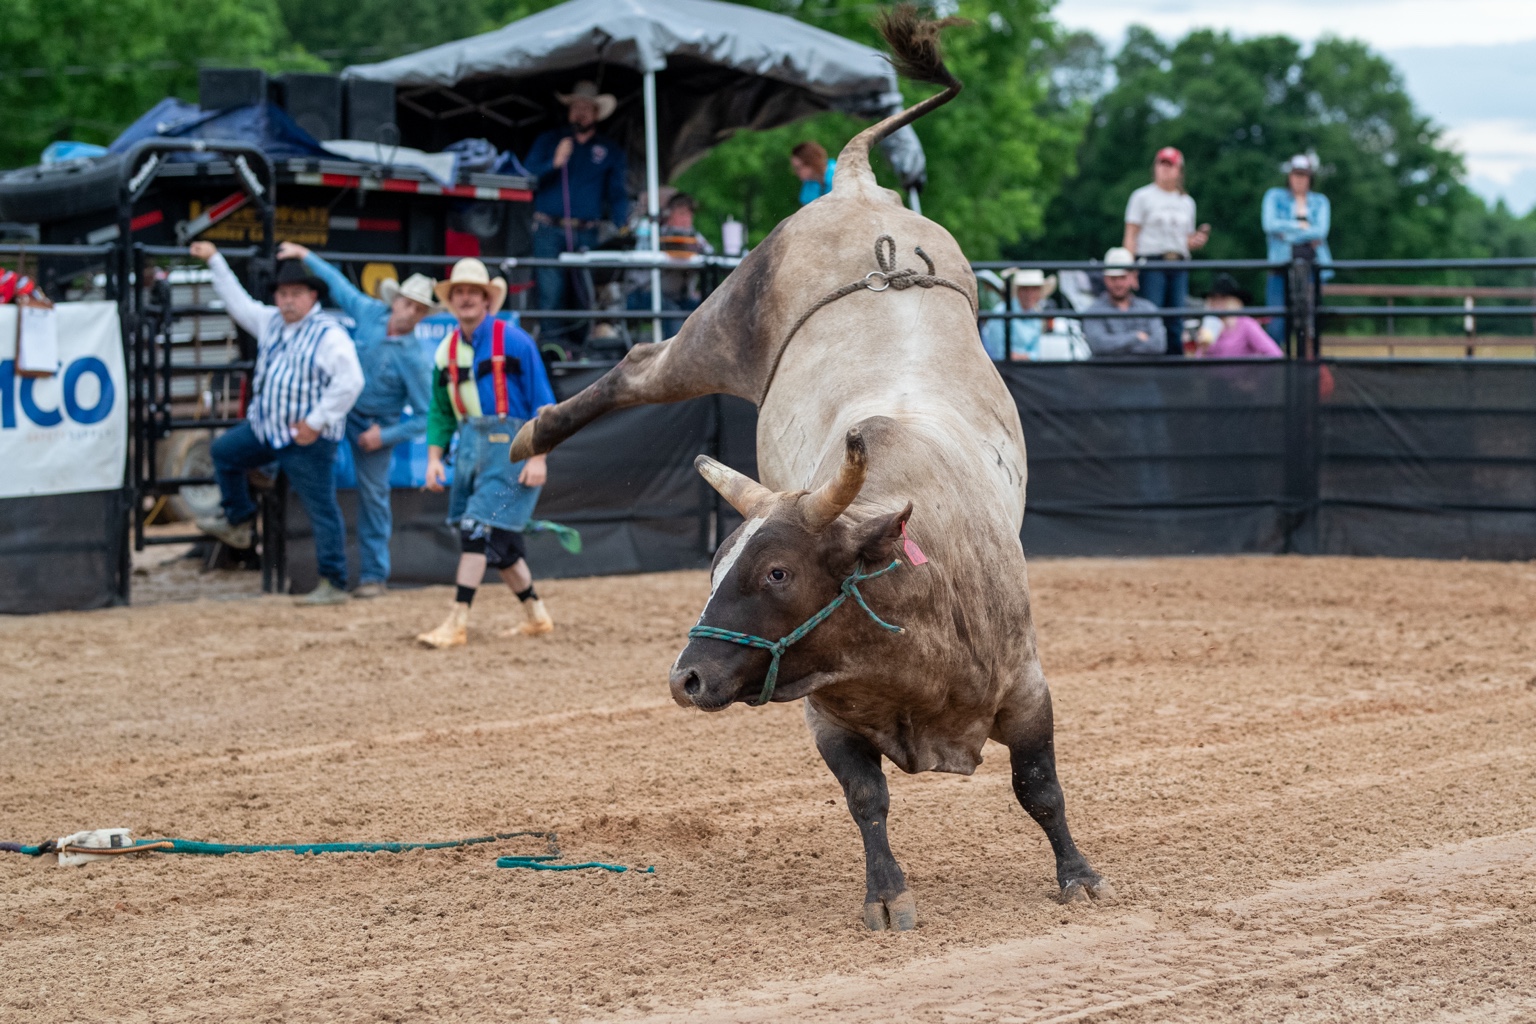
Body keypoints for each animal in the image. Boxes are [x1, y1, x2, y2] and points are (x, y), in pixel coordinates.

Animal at [509, 5, 1106, 930]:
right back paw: (531, 435)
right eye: (716, 564)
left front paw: (1077, 874)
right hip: (727, 316)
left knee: (643, 359)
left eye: (778, 572)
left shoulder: (1029, 688)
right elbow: (867, 798)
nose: (686, 677)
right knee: (642, 364)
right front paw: (887, 896)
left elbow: (1038, 785)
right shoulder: (827, 719)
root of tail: (857, 187)